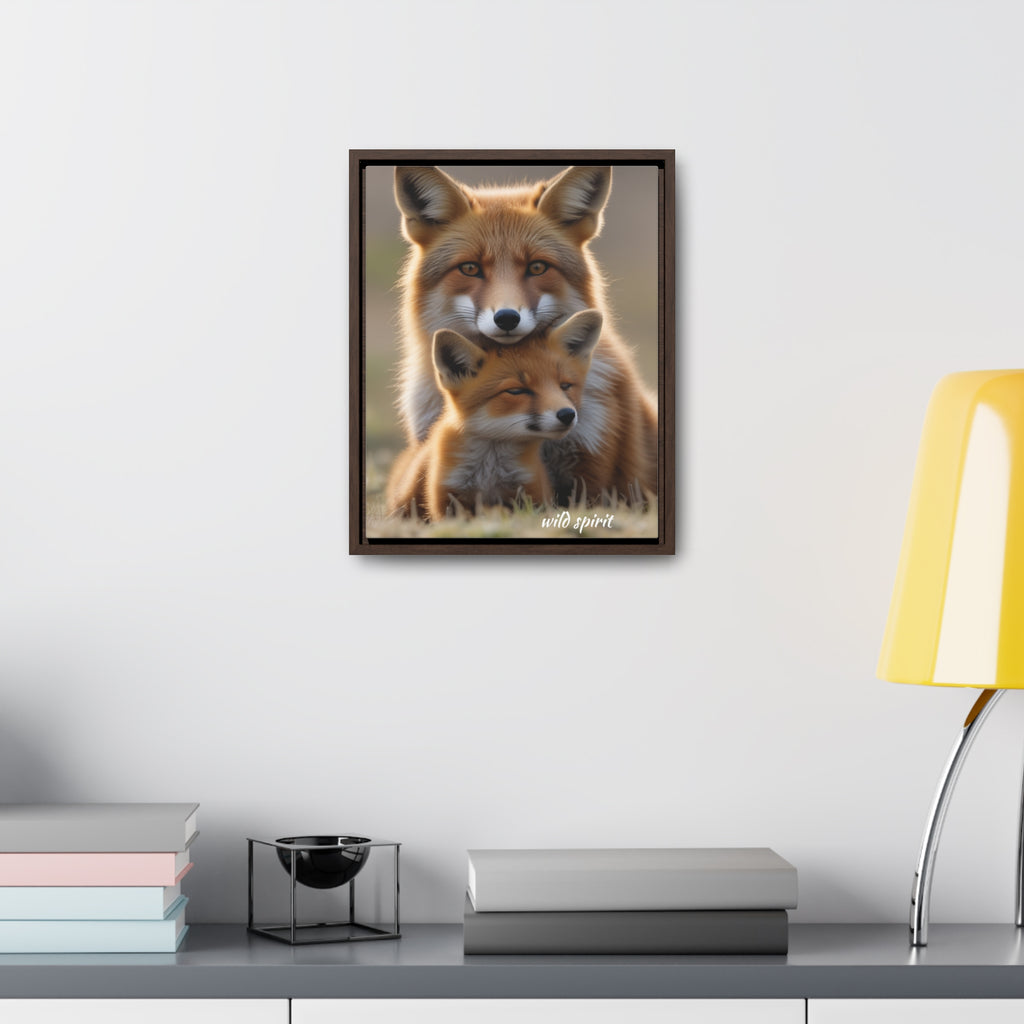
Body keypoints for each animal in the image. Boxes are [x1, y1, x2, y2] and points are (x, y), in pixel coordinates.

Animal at [385, 310, 602, 522]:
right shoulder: (448, 498)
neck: (489, 472)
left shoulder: (531, 492)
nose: (567, 414)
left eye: (565, 386)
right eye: (516, 391)